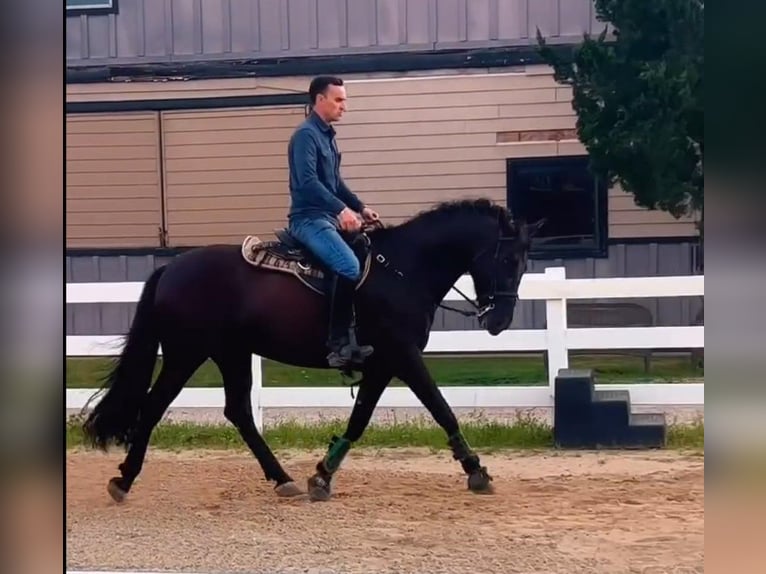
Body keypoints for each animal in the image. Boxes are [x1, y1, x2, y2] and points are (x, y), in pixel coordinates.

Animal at [81, 197, 543, 502]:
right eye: (506, 259)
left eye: (525, 262)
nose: (499, 321)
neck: (403, 269)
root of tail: (171, 268)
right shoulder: (404, 355)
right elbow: (441, 408)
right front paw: (477, 471)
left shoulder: (383, 363)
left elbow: (359, 420)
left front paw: (322, 476)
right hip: (186, 354)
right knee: (154, 406)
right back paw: (124, 480)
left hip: (230, 354)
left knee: (238, 412)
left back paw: (281, 477)